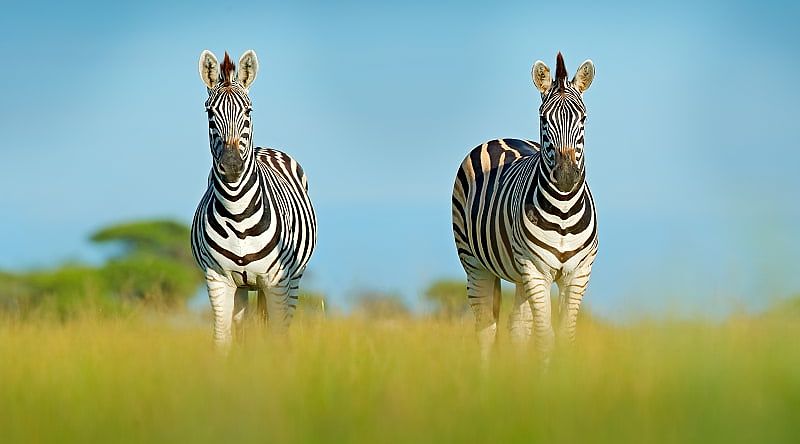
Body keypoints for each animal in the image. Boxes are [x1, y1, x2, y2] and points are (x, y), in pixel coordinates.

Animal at [192, 49, 318, 346]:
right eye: (209, 112)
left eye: (248, 110)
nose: (231, 164)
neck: (237, 211)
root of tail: (265, 148)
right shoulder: (217, 279)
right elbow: (223, 339)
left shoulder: (277, 280)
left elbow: (277, 336)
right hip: (242, 287)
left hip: (293, 280)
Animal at [454, 53, 596, 364]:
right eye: (543, 119)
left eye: (583, 118)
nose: (566, 175)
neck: (563, 211)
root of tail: (500, 137)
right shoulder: (535, 270)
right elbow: (545, 338)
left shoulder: (578, 273)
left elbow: (565, 337)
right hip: (475, 263)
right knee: (486, 328)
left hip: (519, 275)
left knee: (517, 327)